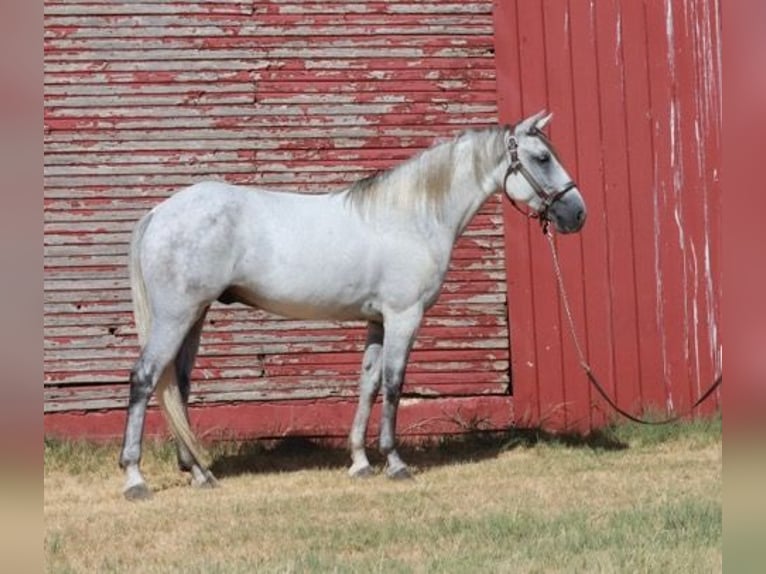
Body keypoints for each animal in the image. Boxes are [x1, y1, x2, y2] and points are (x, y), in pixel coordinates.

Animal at [119, 110, 587, 499]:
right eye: (542, 157)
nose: (577, 214)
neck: (410, 216)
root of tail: (160, 212)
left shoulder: (377, 321)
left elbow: (369, 383)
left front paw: (360, 462)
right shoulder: (404, 316)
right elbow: (395, 384)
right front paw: (395, 463)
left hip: (194, 315)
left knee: (176, 385)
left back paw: (199, 472)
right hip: (175, 315)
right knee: (144, 378)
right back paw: (135, 478)